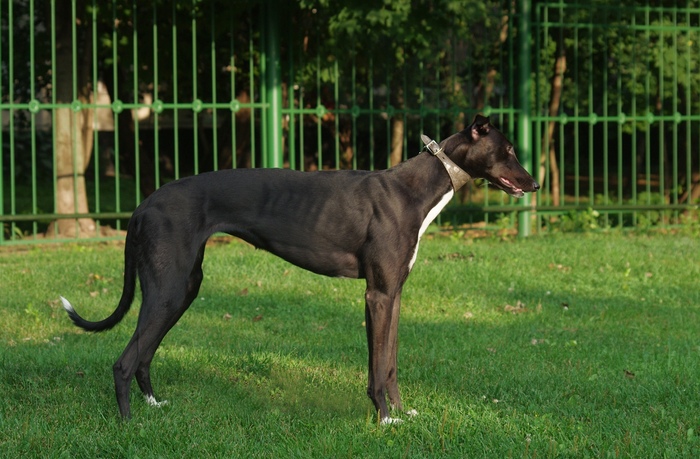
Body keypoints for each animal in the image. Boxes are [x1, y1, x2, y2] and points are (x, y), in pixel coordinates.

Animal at [61, 114, 540, 424]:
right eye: (508, 149)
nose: (534, 184)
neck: (416, 188)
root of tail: (143, 205)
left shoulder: (395, 294)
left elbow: (389, 363)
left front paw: (404, 413)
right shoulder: (377, 295)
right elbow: (376, 367)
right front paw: (385, 419)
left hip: (181, 288)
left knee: (144, 355)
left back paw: (154, 406)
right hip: (167, 288)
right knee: (124, 361)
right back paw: (128, 425)